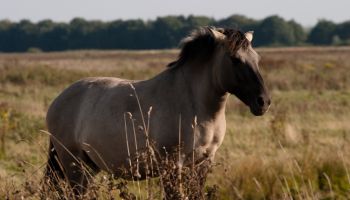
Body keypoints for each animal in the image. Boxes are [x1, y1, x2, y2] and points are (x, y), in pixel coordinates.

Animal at [44, 26, 270, 197]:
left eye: (257, 58)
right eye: (235, 59)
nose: (263, 102)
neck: (195, 107)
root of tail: (58, 101)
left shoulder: (203, 162)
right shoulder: (172, 165)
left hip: (89, 166)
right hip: (73, 164)